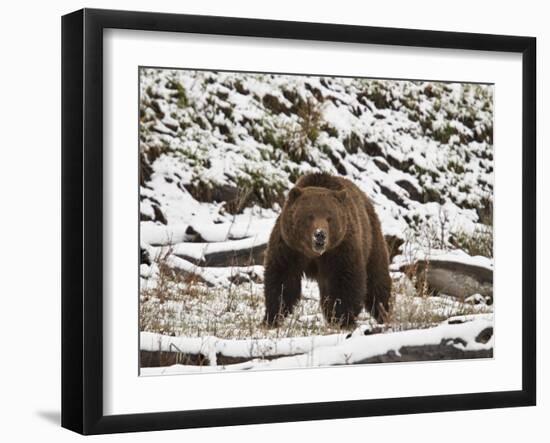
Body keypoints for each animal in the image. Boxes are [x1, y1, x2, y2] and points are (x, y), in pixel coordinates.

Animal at [264, 173, 390, 330]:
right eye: (310, 216)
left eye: (329, 217)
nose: (320, 234)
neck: (314, 254)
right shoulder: (290, 248)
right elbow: (282, 279)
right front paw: (272, 317)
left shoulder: (340, 250)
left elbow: (345, 282)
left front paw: (343, 318)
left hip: (372, 238)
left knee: (377, 280)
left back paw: (383, 313)